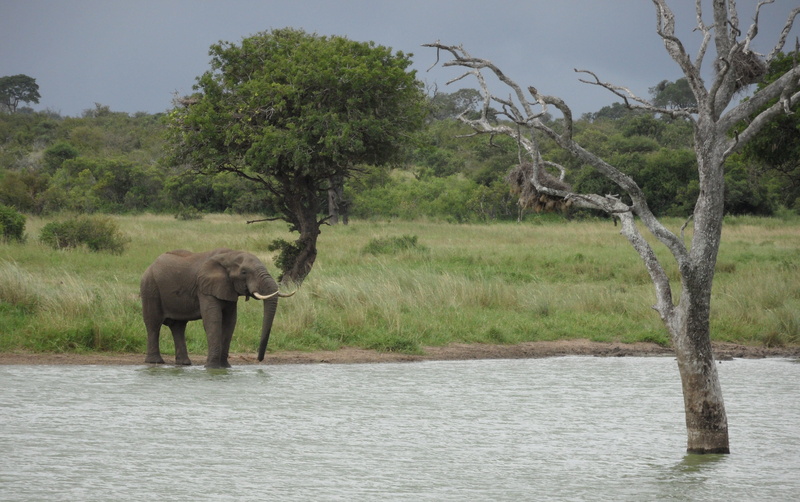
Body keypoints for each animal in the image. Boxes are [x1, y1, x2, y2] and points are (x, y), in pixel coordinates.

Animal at [140, 248, 293, 368]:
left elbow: (230, 321)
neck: (229, 255)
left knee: (178, 326)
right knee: (153, 324)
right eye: (244, 272)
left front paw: (225, 367)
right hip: (150, 288)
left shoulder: (228, 288)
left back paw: (184, 363)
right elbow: (213, 319)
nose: (259, 359)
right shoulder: (205, 287)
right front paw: (212, 367)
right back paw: (155, 362)